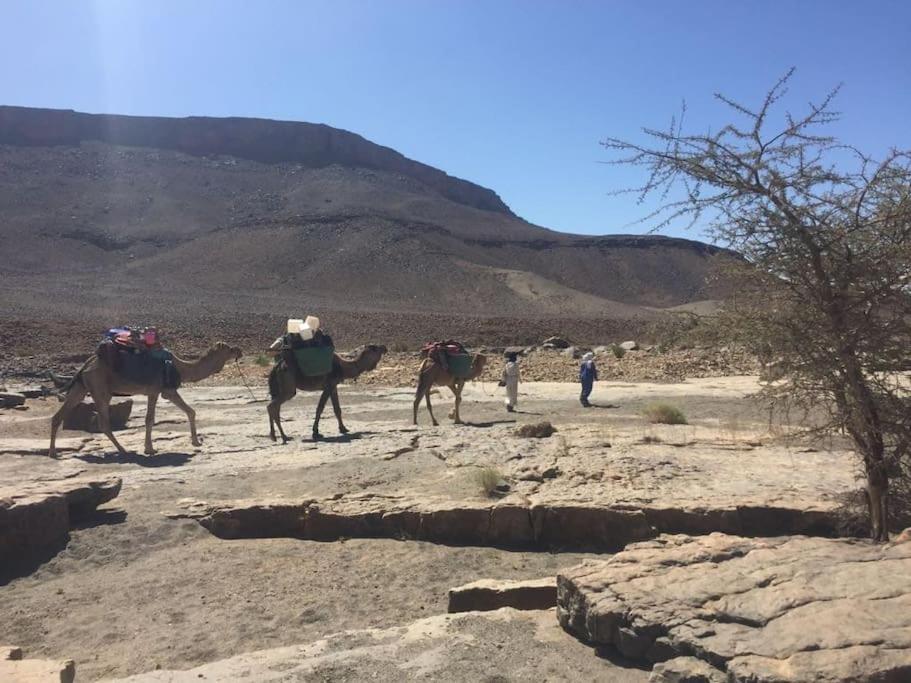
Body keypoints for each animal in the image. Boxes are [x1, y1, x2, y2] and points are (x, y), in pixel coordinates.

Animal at [49, 342, 242, 460]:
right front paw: (150, 449)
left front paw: (195, 442)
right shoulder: (158, 390)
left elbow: (188, 411)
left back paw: (53, 453)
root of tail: (88, 363)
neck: (181, 367)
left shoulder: (163, 392)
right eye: (230, 349)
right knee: (104, 423)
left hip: (82, 386)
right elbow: (151, 419)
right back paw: (124, 450)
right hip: (100, 388)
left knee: (57, 416)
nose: (240, 351)